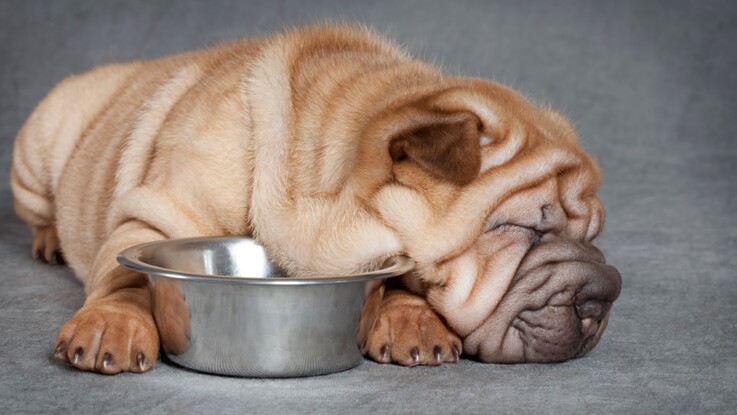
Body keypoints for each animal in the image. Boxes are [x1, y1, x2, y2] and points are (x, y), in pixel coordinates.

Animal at [11, 23, 620, 374]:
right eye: (521, 230)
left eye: (594, 236)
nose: (606, 293)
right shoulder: (156, 219)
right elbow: (128, 275)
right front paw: (110, 323)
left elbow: (398, 279)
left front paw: (413, 321)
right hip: (38, 146)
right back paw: (48, 240)